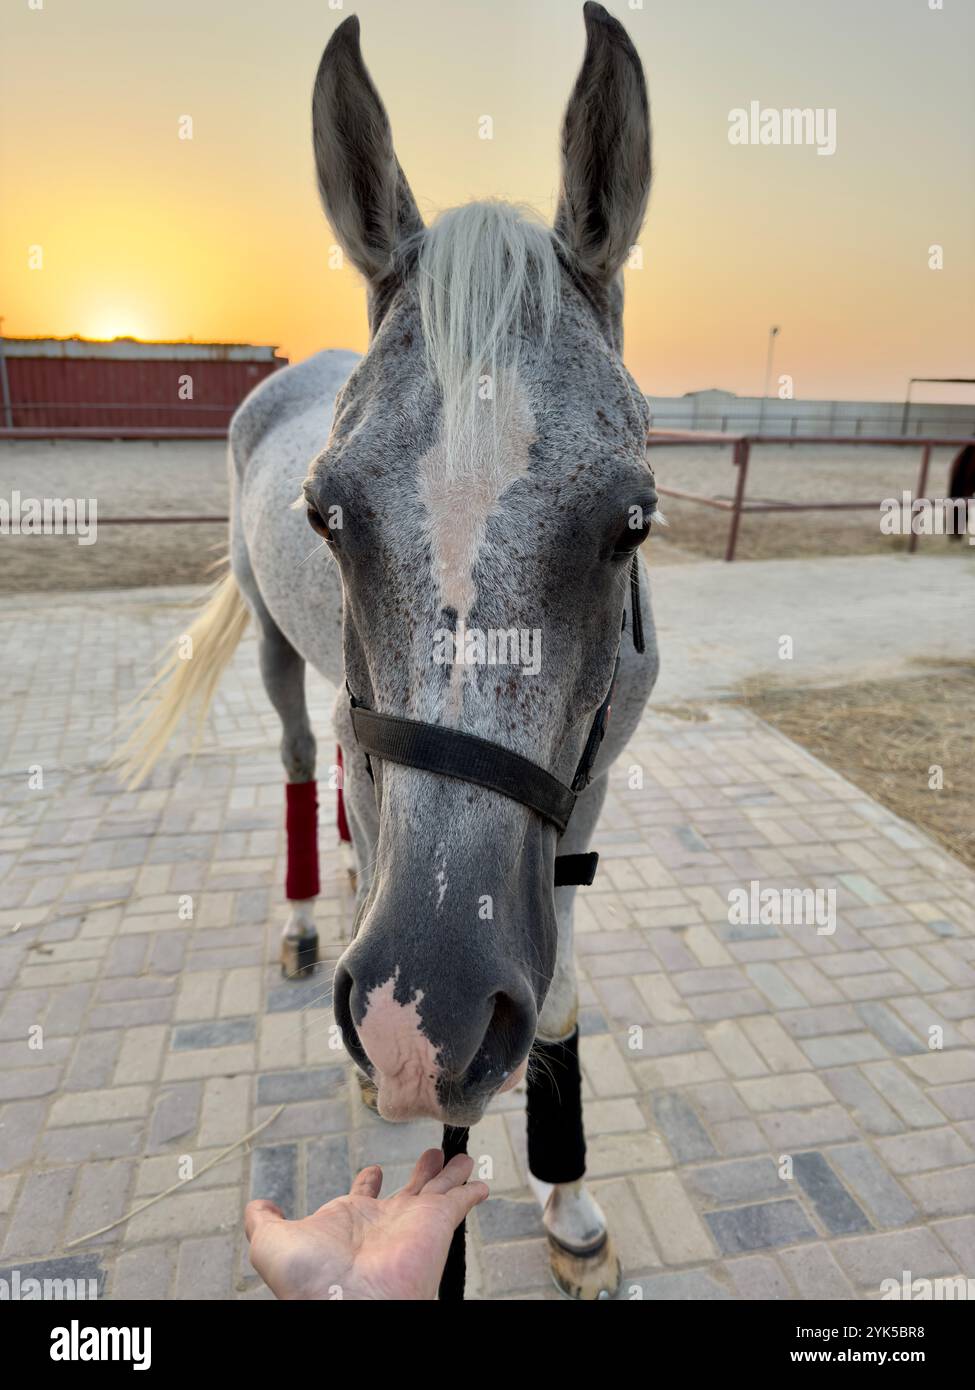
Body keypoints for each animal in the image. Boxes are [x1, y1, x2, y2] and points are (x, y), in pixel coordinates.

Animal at [119, 2, 653, 1301]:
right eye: (327, 514)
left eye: (632, 522)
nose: (428, 1019)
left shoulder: (590, 777)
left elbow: (560, 990)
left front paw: (570, 1202)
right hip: (282, 656)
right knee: (305, 764)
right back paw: (312, 921)